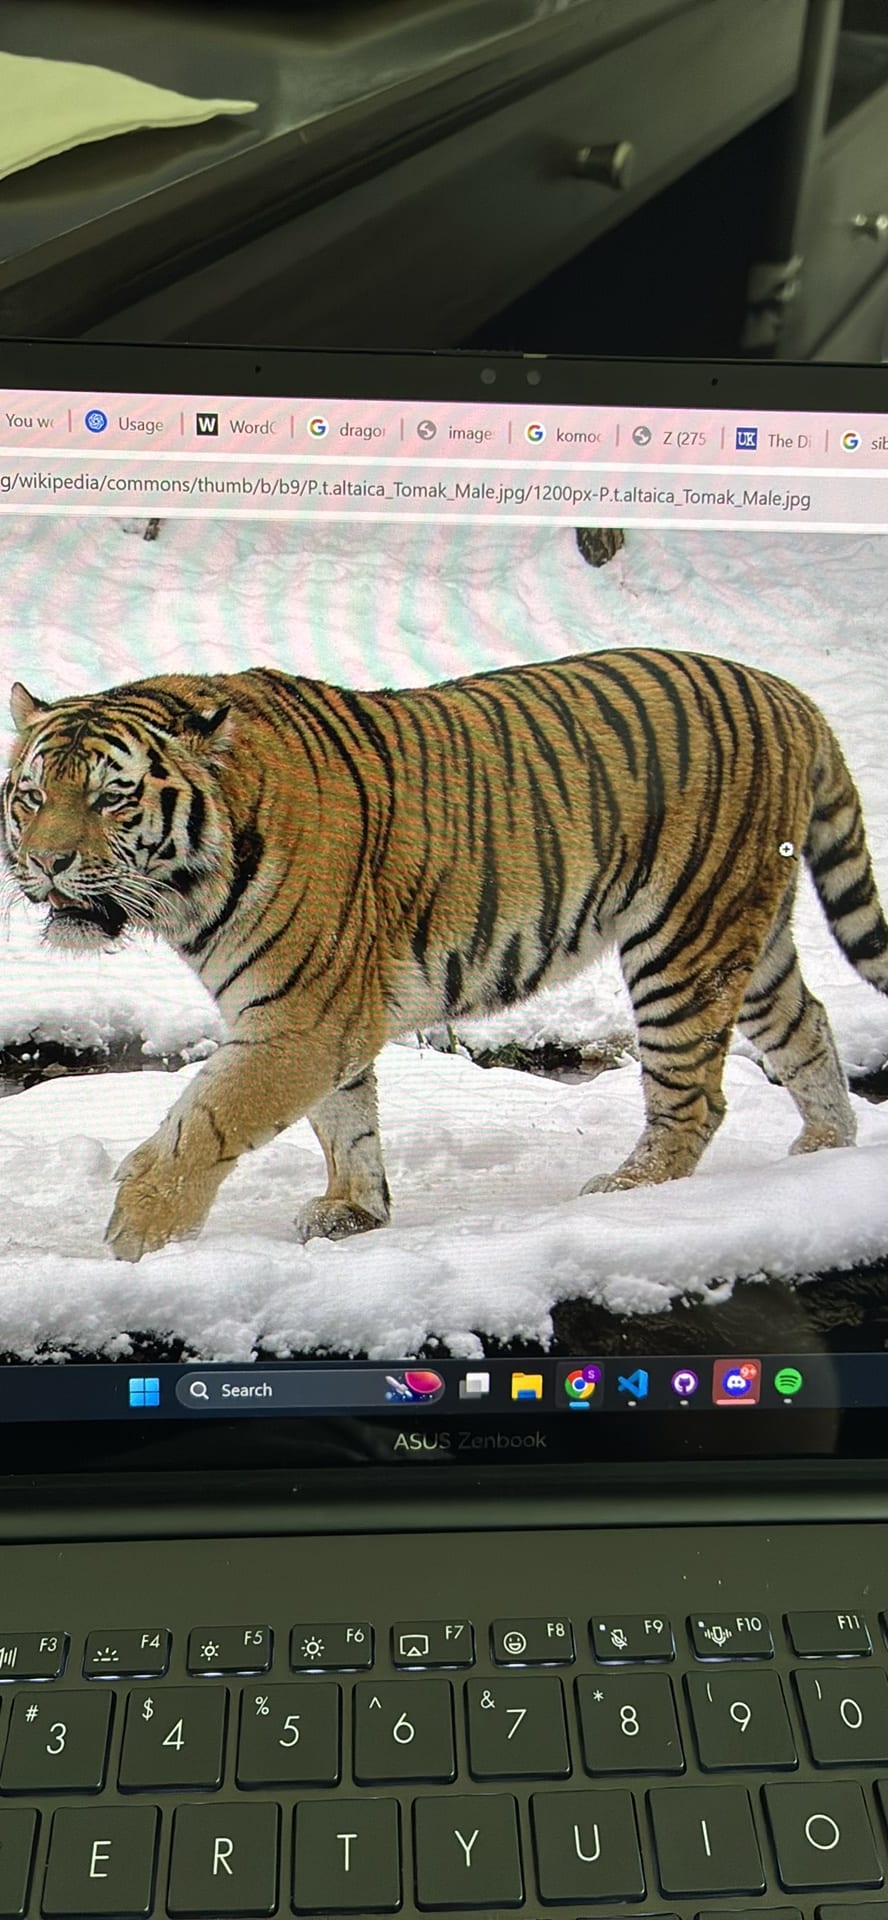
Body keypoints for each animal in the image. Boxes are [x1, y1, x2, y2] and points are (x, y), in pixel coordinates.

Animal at [2, 649, 887, 1264]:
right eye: (33, 795)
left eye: (113, 797)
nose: (44, 863)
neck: (189, 889)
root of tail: (787, 692)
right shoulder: (322, 1019)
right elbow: (345, 1120)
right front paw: (354, 1210)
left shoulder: (300, 1020)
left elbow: (209, 1119)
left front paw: (136, 1234)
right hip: (749, 937)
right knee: (806, 1023)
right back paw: (823, 1151)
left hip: (683, 942)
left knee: (694, 1096)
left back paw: (630, 1191)